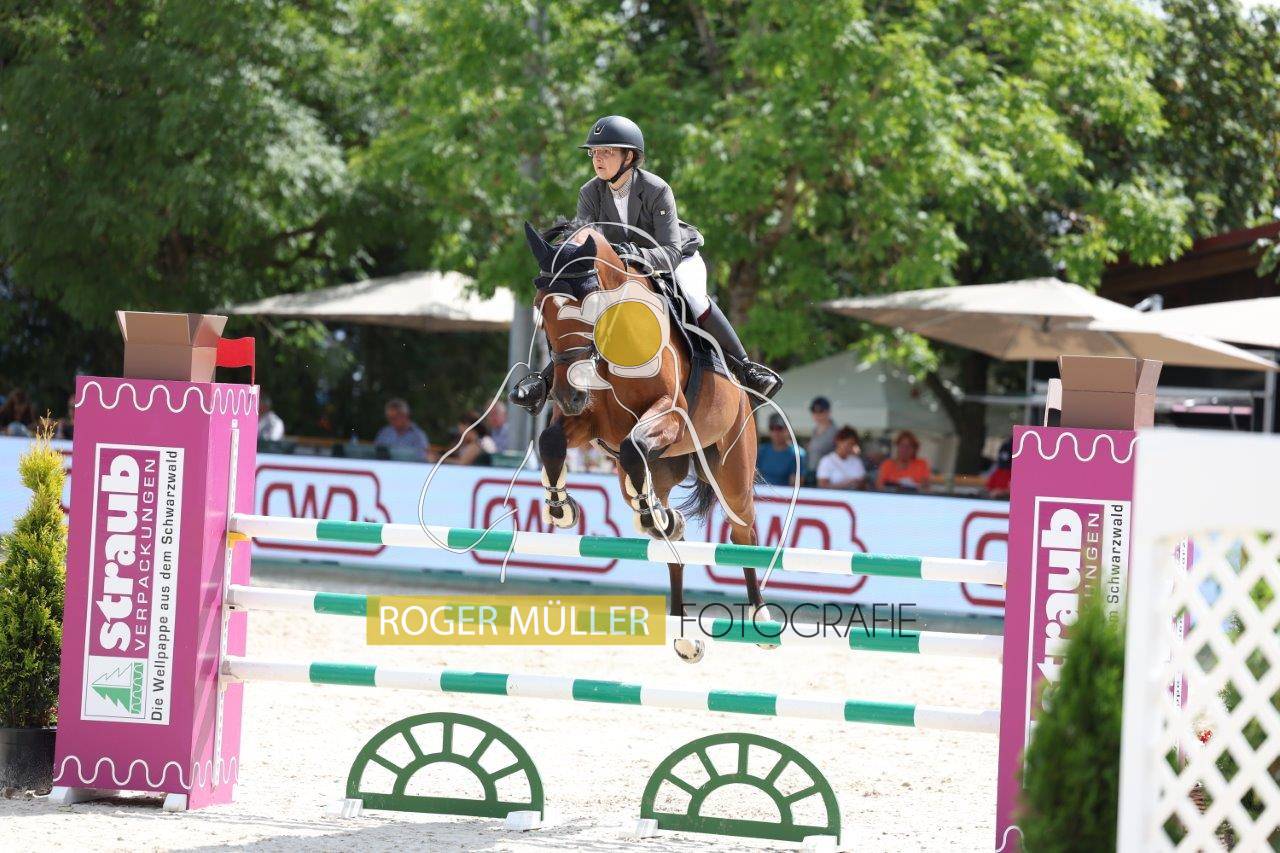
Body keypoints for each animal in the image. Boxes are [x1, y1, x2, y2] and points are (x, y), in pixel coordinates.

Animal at [522, 221, 766, 662]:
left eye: (588, 306)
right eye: (539, 307)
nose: (567, 395)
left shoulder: (670, 415)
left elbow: (635, 443)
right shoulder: (590, 422)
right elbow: (551, 441)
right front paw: (560, 508)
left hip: (732, 468)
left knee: (743, 532)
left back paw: (761, 617)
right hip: (650, 472)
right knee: (666, 531)